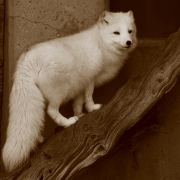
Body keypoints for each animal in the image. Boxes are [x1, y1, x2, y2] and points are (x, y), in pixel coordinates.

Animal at [2, 10, 136, 172]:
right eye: (116, 33)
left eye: (130, 31)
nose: (128, 42)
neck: (101, 43)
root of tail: (26, 60)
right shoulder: (90, 79)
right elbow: (89, 97)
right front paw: (92, 108)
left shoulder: (80, 85)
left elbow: (78, 103)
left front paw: (80, 114)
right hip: (59, 91)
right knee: (51, 110)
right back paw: (68, 122)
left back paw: (38, 138)